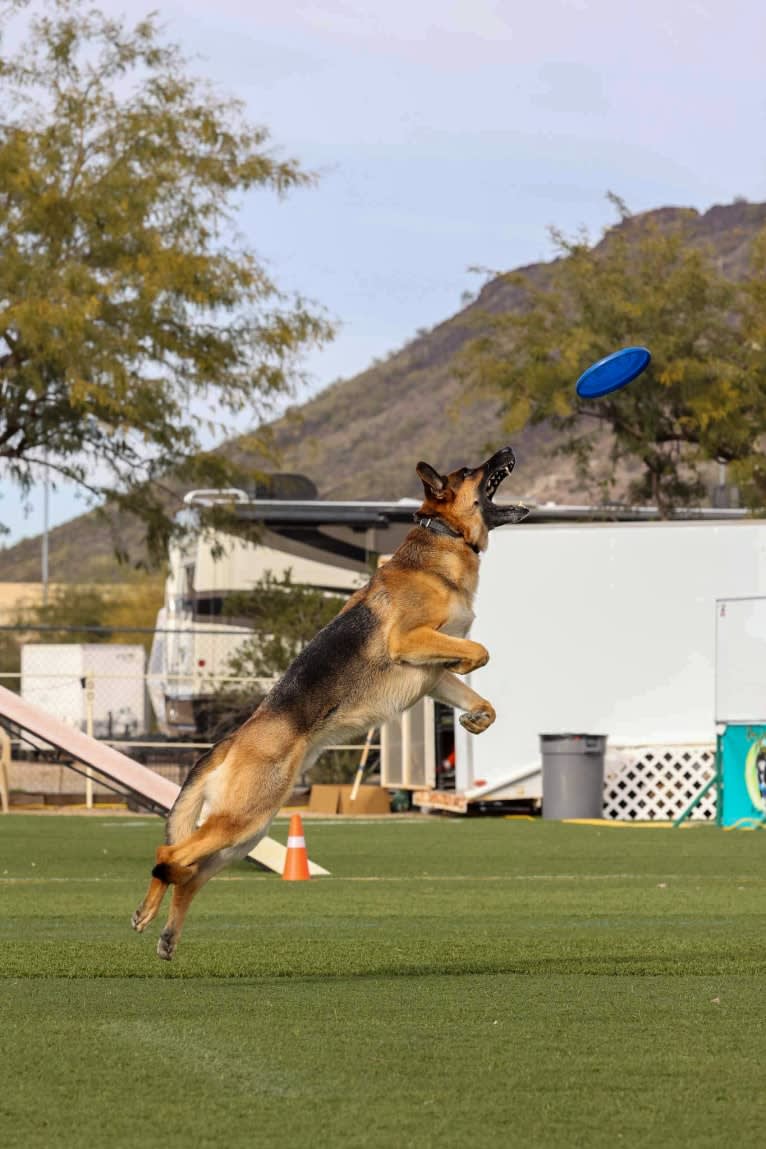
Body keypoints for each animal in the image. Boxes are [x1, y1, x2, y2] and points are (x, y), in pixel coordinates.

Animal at [132, 448, 528, 960]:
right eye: (469, 472)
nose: (507, 451)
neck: (442, 539)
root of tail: (231, 741)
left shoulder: (432, 674)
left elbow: (476, 691)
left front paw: (477, 718)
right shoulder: (410, 641)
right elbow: (479, 651)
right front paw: (471, 675)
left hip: (246, 833)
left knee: (189, 874)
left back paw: (167, 935)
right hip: (239, 822)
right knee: (169, 857)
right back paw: (147, 913)